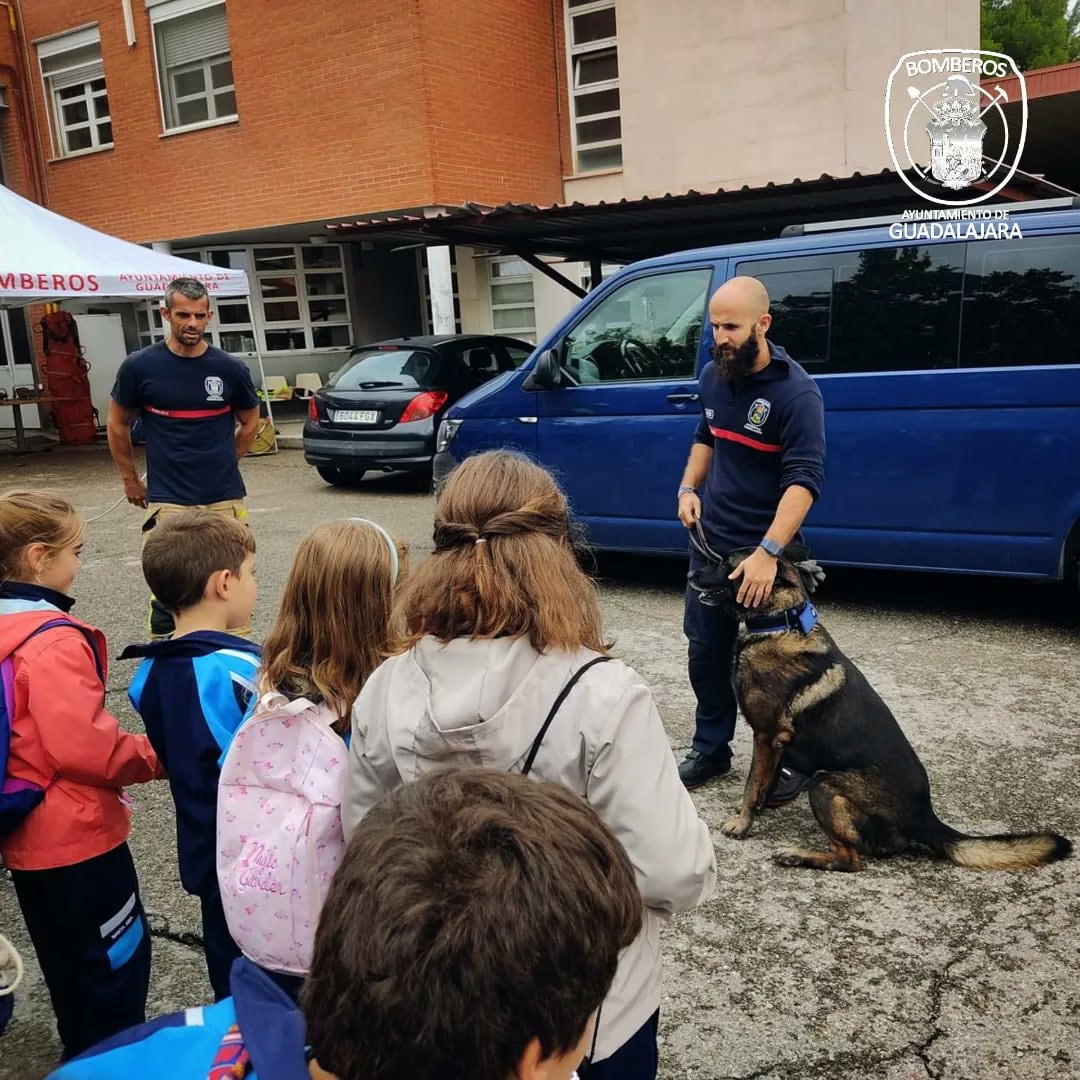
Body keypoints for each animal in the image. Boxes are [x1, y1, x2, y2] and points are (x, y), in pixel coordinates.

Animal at [691, 548, 1071, 868]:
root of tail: (925, 817)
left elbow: (753, 783)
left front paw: (742, 823)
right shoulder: (777, 742)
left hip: (825, 784)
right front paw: (755, 811)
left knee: (850, 859)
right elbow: (764, 784)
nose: (692, 571)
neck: (779, 623)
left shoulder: (768, 736)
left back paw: (797, 855)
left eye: (725, 564)